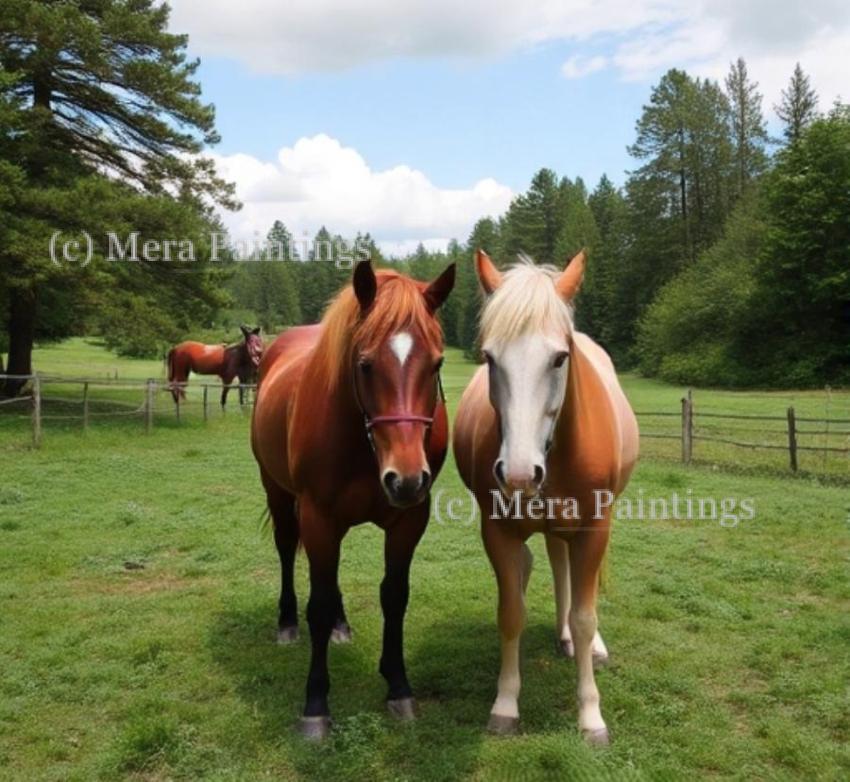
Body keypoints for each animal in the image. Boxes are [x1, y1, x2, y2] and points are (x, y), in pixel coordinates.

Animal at [251, 260, 455, 740]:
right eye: (364, 364)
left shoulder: (408, 521)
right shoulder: (318, 517)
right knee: (287, 551)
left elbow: (394, 596)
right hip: (280, 493)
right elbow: (318, 605)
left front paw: (398, 687)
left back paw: (341, 626)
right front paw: (315, 705)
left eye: (437, 362)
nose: (406, 479)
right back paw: (286, 622)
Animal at [453, 250, 638, 744]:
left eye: (559, 358)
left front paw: (591, 715)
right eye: (489, 358)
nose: (519, 473)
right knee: (554, 565)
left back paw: (581, 644)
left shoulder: (593, 530)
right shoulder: (498, 532)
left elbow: (585, 615)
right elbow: (511, 612)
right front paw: (505, 703)